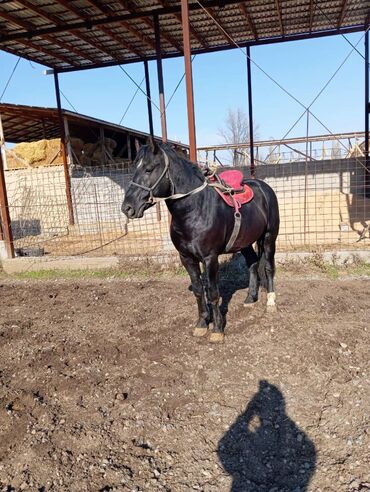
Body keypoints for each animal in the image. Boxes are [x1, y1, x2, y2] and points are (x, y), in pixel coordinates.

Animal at [123, 138, 278, 342]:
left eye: (149, 169)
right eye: (134, 168)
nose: (127, 207)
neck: (195, 210)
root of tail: (264, 187)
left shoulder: (210, 258)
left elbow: (212, 292)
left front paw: (218, 329)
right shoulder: (187, 258)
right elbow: (198, 290)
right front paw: (202, 324)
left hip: (269, 238)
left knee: (268, 267)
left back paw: (271, 302)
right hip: (244, 241)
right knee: (252, 263)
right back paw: (250, 298)